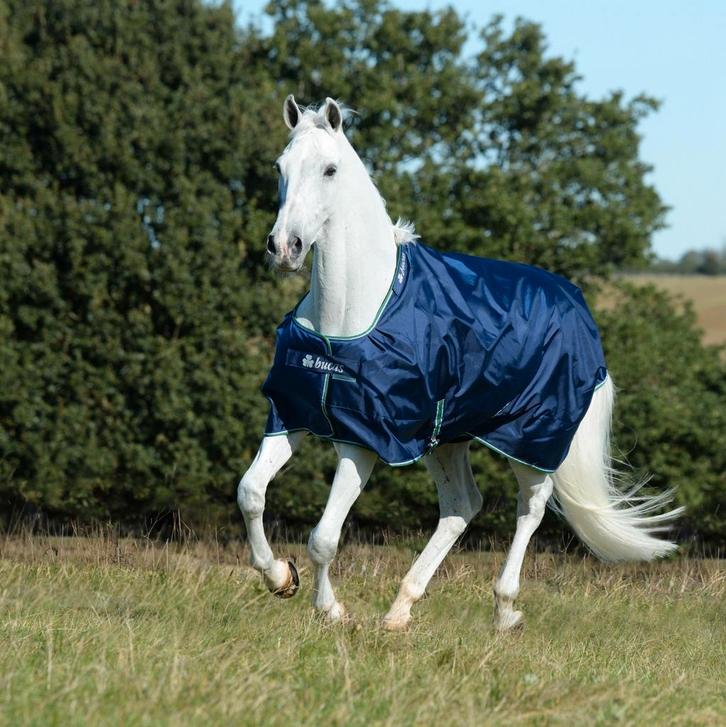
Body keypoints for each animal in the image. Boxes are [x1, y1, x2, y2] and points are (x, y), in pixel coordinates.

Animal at [237, 96, 682, 631]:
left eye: (329, 169)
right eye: (279, 167)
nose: (285, 248)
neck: (347, 317)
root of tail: (576, 303)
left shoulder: (362, 439)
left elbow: (323, 537)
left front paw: (331, 610)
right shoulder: (293, 414)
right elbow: (250, 492)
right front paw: (280, 577)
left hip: (531, 437)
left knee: (531, 508)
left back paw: (505, 609)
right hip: (447, 437)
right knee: (462, 506)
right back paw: (400, 610)